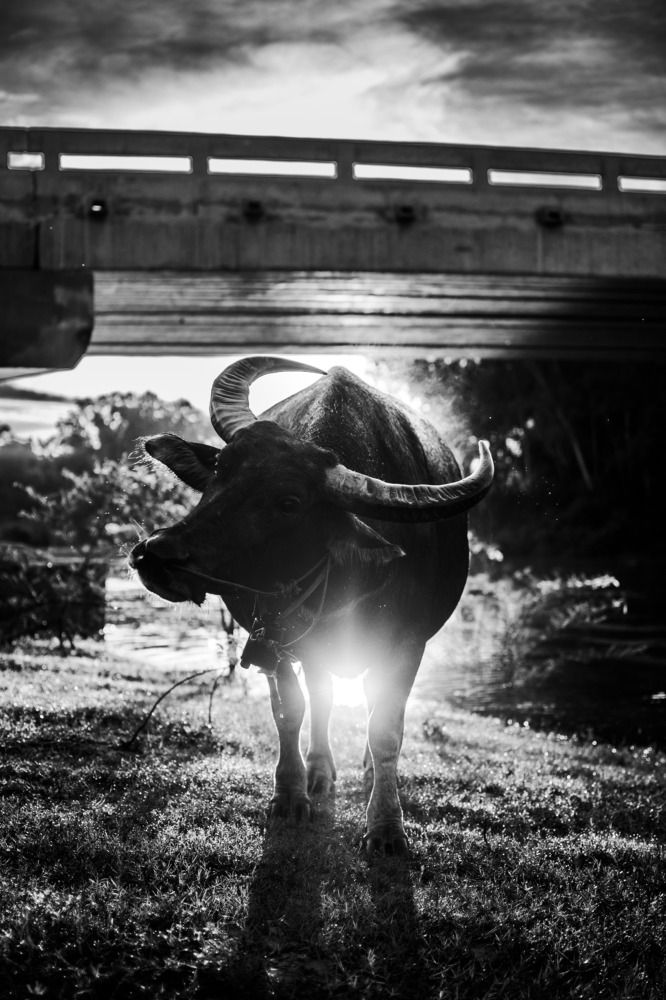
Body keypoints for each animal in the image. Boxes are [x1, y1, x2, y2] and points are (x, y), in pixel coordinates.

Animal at [129, 357, 493, 855]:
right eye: (221, 469)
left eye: (290, 502)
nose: (156, 553)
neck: (342, 581)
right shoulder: (270, 634)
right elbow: (290, 712)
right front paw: (290, 795)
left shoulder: (408, 643)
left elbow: (385, 729)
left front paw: (385, 827)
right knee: (322, 695)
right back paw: (319, 770)